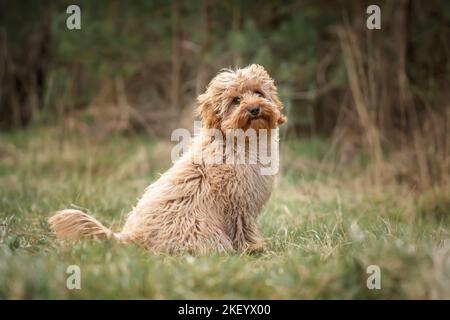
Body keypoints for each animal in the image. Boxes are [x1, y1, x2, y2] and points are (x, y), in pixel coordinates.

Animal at [49, 65, 286, 254]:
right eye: (236, 100)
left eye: (258, 92)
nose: (254, 109)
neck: (241, 141)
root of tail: (132, 237)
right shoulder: (239, 204)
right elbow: (243, 229)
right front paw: (253, 248)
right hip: (201, 230)